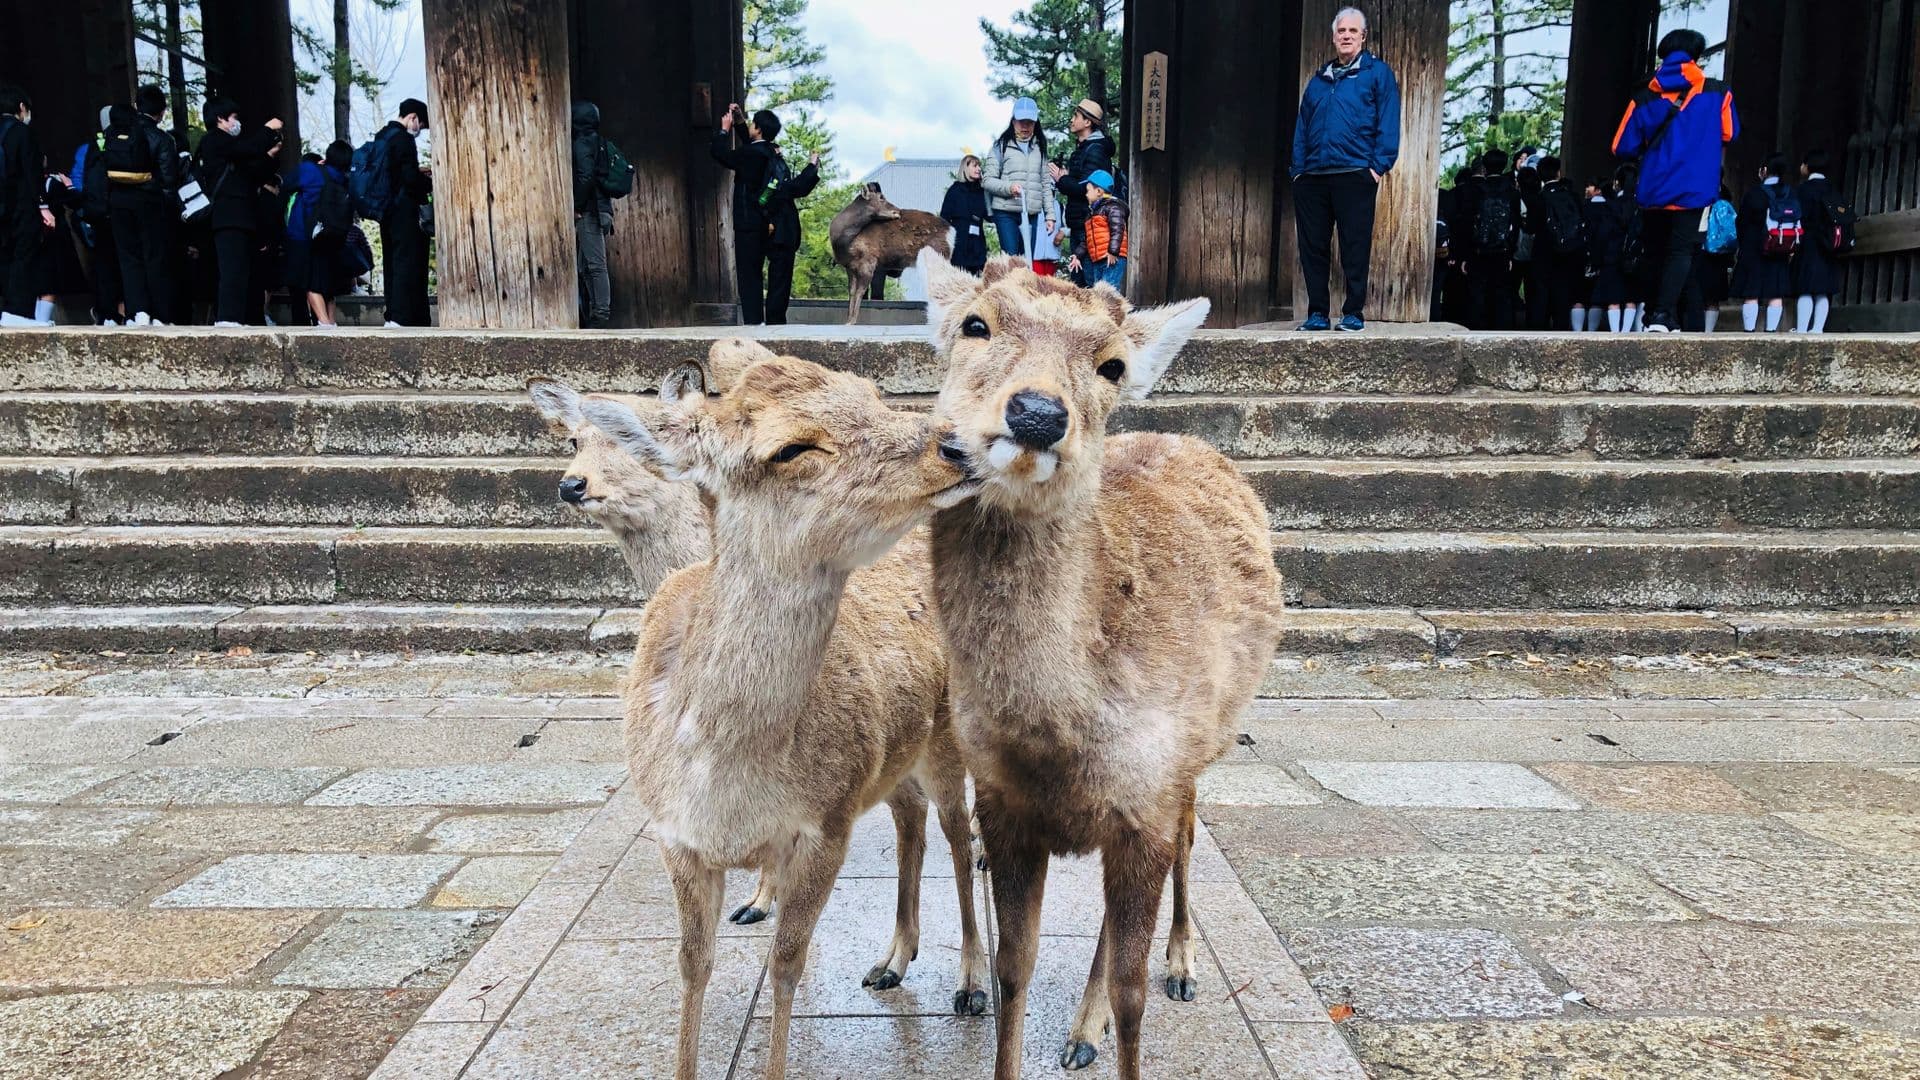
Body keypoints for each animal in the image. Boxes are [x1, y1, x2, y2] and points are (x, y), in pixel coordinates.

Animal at [577, 351, 990, 1080]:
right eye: (791, 448)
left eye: (871, 393)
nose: (956, 445)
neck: (728, 781)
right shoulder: (673, 834)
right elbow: (693, 964)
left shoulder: (825, 824)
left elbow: (788, 963)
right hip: (892, 755)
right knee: (910, 821)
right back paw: (892, 960)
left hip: (945, 735)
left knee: (956, 833)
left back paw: (970, 983)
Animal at [830, 183, 951, 325]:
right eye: (881, 197)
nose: (898, 211)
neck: (844, 242)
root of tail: (950, 230)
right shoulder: (849, 267)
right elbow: (852, 292)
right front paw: (848, 320)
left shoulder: (869, 261)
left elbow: (861, 291)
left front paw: (853, 321)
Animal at [914, 250, 1285, 1080]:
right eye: (974, 323)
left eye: (1112, 365)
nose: (1037, 414)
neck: (1062, 734)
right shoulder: (1003, 803)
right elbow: (1012, 969)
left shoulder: (1147, 793)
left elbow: (1131, 992)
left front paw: (1132, 1005)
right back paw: (1083, 1030)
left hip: (1200, 749)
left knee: (1189, 839)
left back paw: (1179, 964)